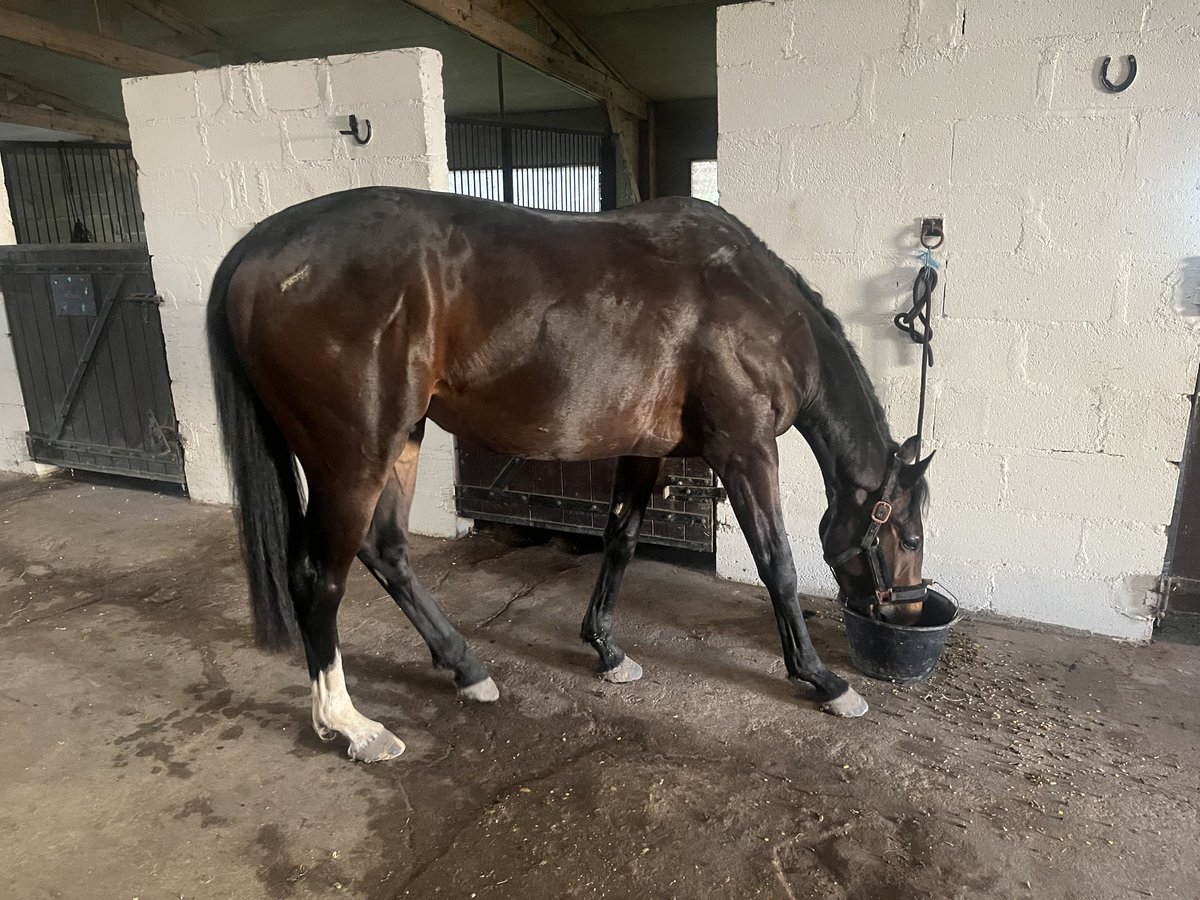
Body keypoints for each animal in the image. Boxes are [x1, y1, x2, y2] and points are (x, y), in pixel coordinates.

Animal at [206, 187, 936, 763]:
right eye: (910, 534)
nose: (906, 609)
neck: (757, 309)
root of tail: (258, 250)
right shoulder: (746, 450)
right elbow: (776, 563)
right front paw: (824, 680)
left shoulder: (644, 450)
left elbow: (621, 542)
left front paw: (607, 652)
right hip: (354, 455)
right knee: (319, 578)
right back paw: (353, 726)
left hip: (401, 441)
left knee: (386, 550)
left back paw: (466, 669)